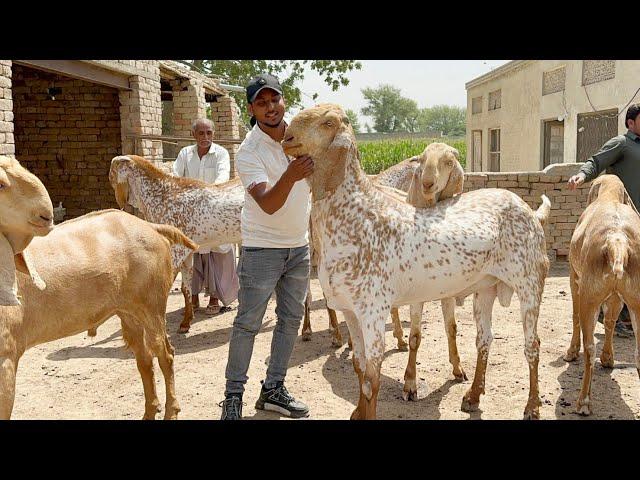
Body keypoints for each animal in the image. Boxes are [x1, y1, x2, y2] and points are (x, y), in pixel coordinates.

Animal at [284, 102, 552, 420]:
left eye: (327, 123)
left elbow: (371, 380)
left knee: (532, 345)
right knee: (484, 338)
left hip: (530, 283)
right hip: (486, 288)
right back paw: (473, 395)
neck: (357, 213)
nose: (287, 137)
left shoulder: (374, 310)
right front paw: (357, 412)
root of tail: (529, 211)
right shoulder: (351, 311)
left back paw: (532, 406)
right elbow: (359, 368)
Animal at [564, 174, 640, 414]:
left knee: (590, 348)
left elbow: (575, 316)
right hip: (636, 301)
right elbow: (610, 321)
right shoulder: (616, 296)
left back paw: (583, 402)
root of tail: (617, 241)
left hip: (588, 296)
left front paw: (571, 352)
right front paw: (608, 358)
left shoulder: (575, 279)